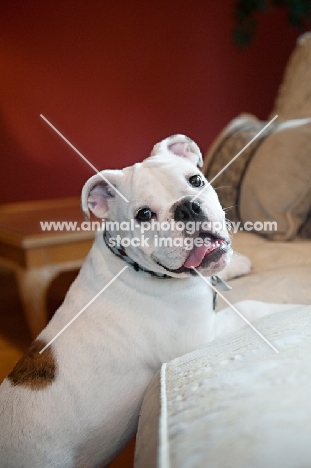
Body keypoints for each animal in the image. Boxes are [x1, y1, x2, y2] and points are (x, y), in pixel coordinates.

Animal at [0, 133, 255, 466]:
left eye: (196, 180)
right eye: (144, 215)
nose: (187, 208)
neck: (132, 264)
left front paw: (239, 263)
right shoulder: (202, 337)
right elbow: (252, 307)